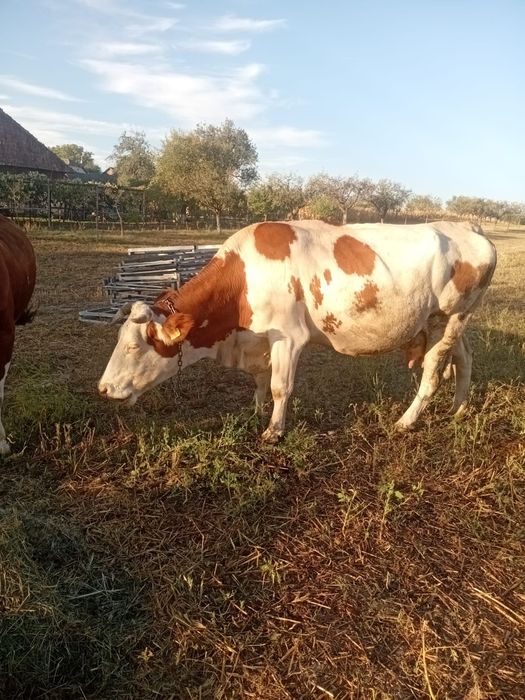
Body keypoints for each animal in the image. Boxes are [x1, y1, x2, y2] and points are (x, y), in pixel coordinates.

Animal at [98, 220, 496, 442]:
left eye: (134, 348)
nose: (103, 388)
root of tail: (467, 228)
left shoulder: (288, 336)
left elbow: (280, 385)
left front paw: (274, 431)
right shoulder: (257, 339)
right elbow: (260, 382)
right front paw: (256, 411)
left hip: (453, 316)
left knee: (433, 371)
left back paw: (407, 421)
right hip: (446, 320)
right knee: (464, 357)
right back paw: (458, 409)